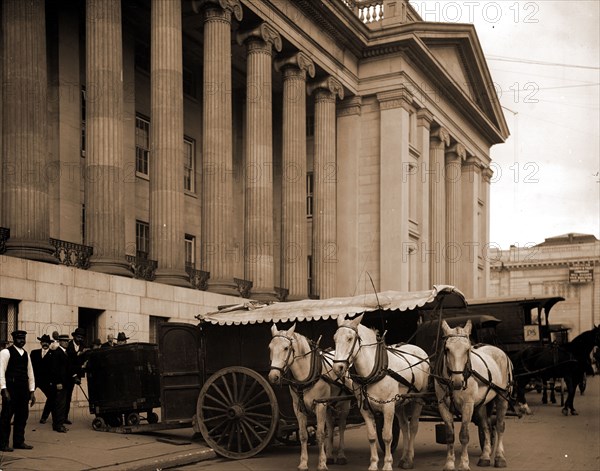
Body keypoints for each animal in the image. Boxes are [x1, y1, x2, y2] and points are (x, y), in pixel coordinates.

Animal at [268, 324, 352, 471]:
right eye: (270, 347)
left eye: (286, 348)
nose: (273, 376)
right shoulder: (298, 408)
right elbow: (303, 435)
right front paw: (303, 463)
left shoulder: (320, 405)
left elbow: (320, 434)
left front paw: (322, 463)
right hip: (329, 405)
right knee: (331, 427)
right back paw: (330, 455)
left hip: (344, 404)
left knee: (341, 426)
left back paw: (341, 455)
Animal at [330, 314, 428, 471]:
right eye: (335, 338)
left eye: (350, 338)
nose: (337, 368)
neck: (372, 372)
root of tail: (417, 349)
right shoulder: (365, 409)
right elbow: (372, 436)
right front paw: (374, 463)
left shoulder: (388, 406)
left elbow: (387, 436)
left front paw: (387, 464)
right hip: (399, 404)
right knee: (404, 427)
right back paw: (404, 457)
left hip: (418, 398)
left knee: (413, 427)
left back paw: (409, 458)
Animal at [436, 320, 516, 471]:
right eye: (447, 349)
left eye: (467, 350)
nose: (457, 382)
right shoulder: (443, 406)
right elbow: (450, 435)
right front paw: (449, 463)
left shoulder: (468, 405)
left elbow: (464, 435)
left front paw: (464, 464)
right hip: (481, 404)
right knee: (485, 427)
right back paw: (485, 456)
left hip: (502, 397)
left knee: (499, 426)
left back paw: (499, 457)